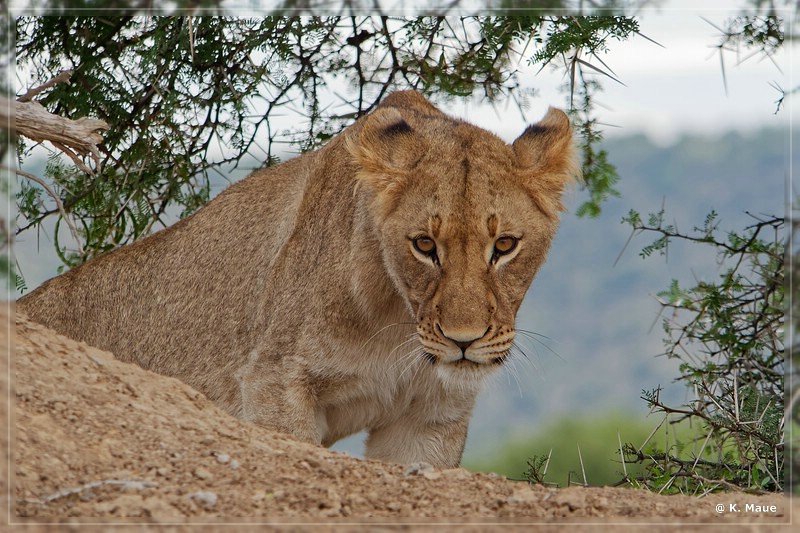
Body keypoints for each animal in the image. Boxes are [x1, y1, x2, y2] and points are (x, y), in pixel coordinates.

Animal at [17, 91, 576, 466]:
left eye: (504, 246)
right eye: (423, 246)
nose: (464, 342)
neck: (397, 323)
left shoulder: (430, 416)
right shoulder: (273, 382)